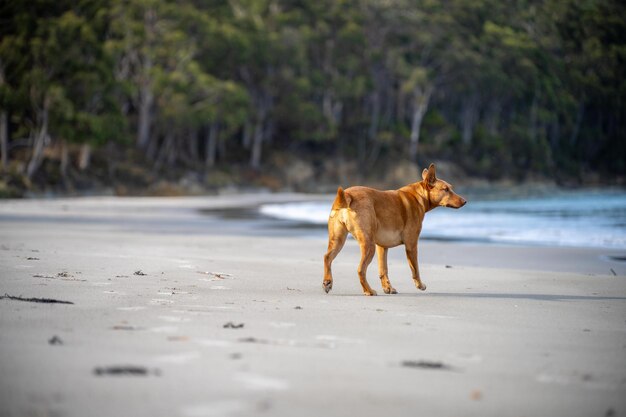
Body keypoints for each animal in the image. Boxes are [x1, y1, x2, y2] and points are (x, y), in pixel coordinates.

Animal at [322, 163, 464, 296]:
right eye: (446, 189)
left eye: (450, 188)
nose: (465, 201)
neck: (419, 196)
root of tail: (347, 195)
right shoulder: (411, 245)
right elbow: (415, 269)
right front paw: (419, 285)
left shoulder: (382, 247)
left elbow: (383, 270)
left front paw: (388, 288)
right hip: (368, 245)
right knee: (360, 270)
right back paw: (368, 291)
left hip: (338, 241)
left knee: (327, 257)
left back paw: (327, 282)